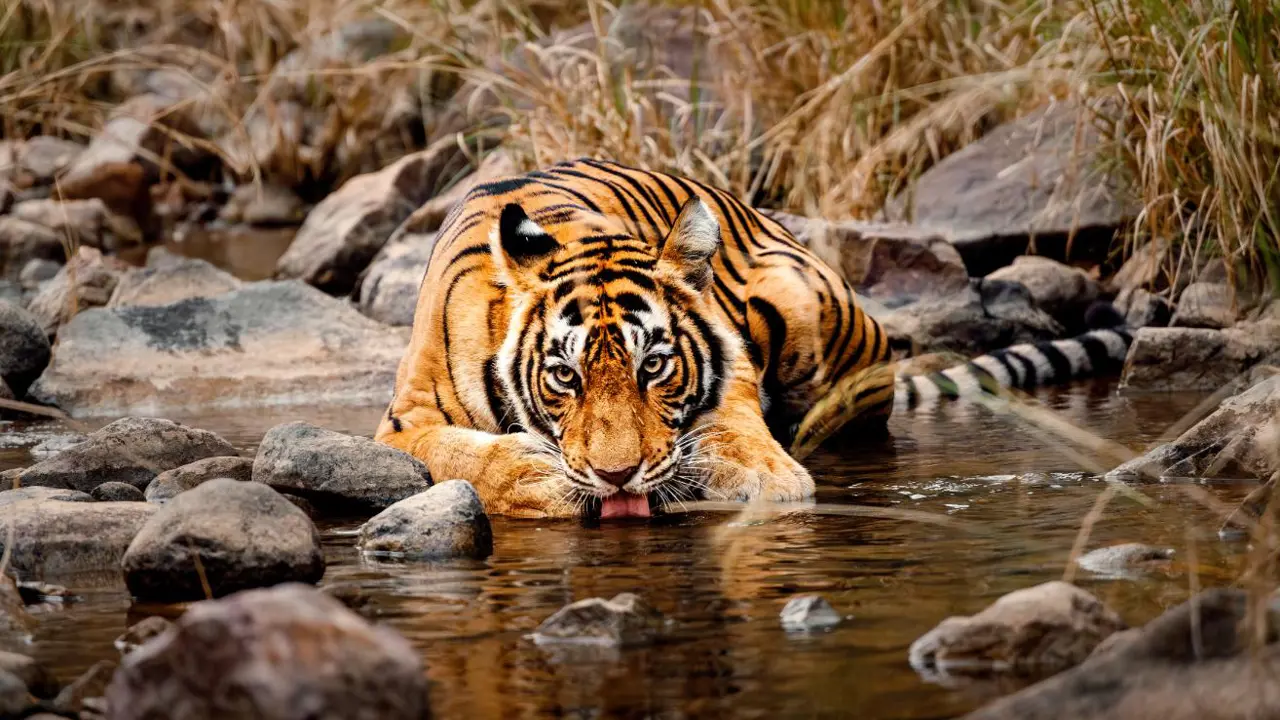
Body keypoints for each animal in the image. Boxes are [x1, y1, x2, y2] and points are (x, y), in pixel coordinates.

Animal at [374, 158, 1131, 518]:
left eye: (655, 366)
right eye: (566, 376)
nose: (617, 476)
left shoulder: (730, 358)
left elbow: (737, 421)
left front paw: (765, 477)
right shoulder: (404, 422)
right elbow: (459, 453)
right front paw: (537, 477)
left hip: (810, 312)